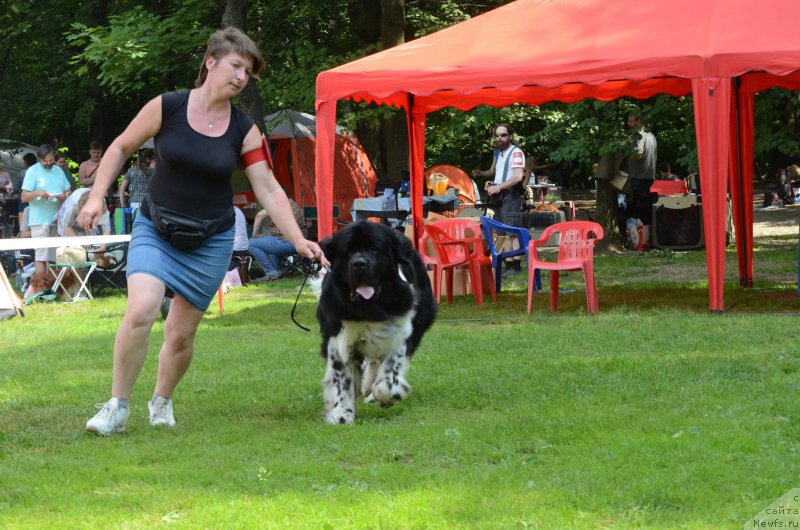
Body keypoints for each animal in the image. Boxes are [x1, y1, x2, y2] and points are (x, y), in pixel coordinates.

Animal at [314, 221, 438, 422]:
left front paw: (390, 394)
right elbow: (342, 379)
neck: (369, 307)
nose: (359, 264)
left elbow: (388, 378)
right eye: (348, 252)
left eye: (374, 249)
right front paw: (342, 413)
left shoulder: (400, 333)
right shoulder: (337, 337)